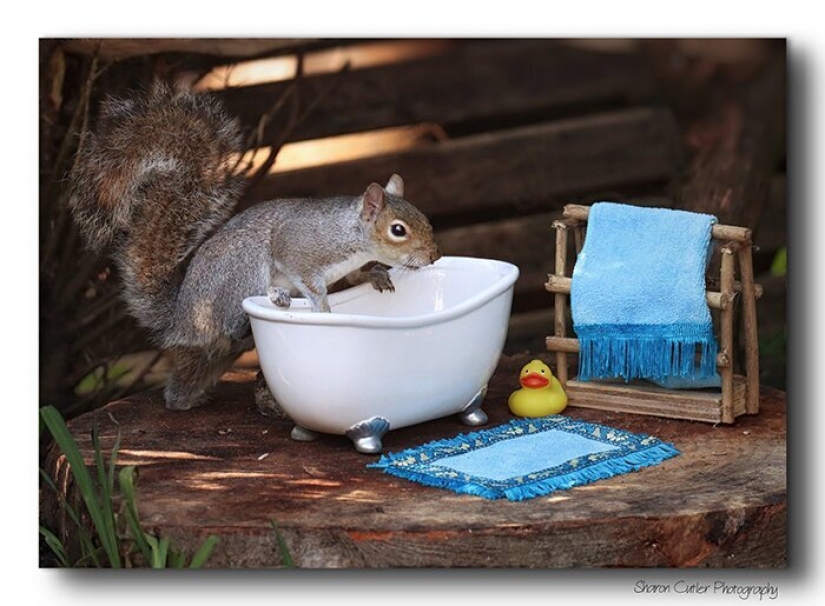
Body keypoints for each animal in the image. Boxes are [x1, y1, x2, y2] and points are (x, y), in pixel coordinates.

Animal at [67, 82, 441, 411]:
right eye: (397, 230)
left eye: (424, 217)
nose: (435, 255)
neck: (348, 234)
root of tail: (181, 318)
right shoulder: (298, 247)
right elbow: (309, 280)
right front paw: (324, 311)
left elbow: (354, 276)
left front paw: (376, 273)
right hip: (243, 270)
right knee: (232, 329)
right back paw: (274, 301)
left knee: (185, 383)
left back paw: (187, 399)